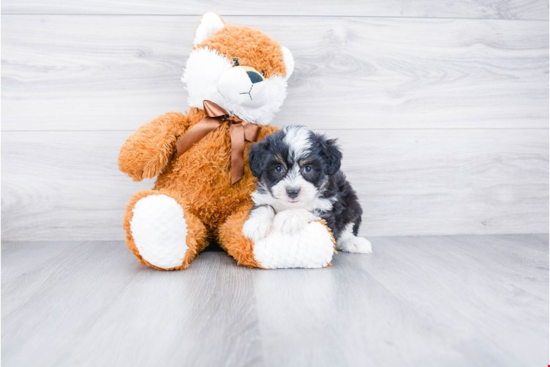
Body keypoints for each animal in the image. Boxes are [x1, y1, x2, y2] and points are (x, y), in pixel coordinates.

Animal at [244, 125, 374, 254]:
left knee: (348, 224)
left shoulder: (327, 209)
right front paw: (255, 224)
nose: (292, 191)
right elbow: (263, 207)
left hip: (351, 202)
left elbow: (310, 210)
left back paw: (354, 242)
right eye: (278, 168)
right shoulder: (262, 197)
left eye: (308, 168)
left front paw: (289, 216)